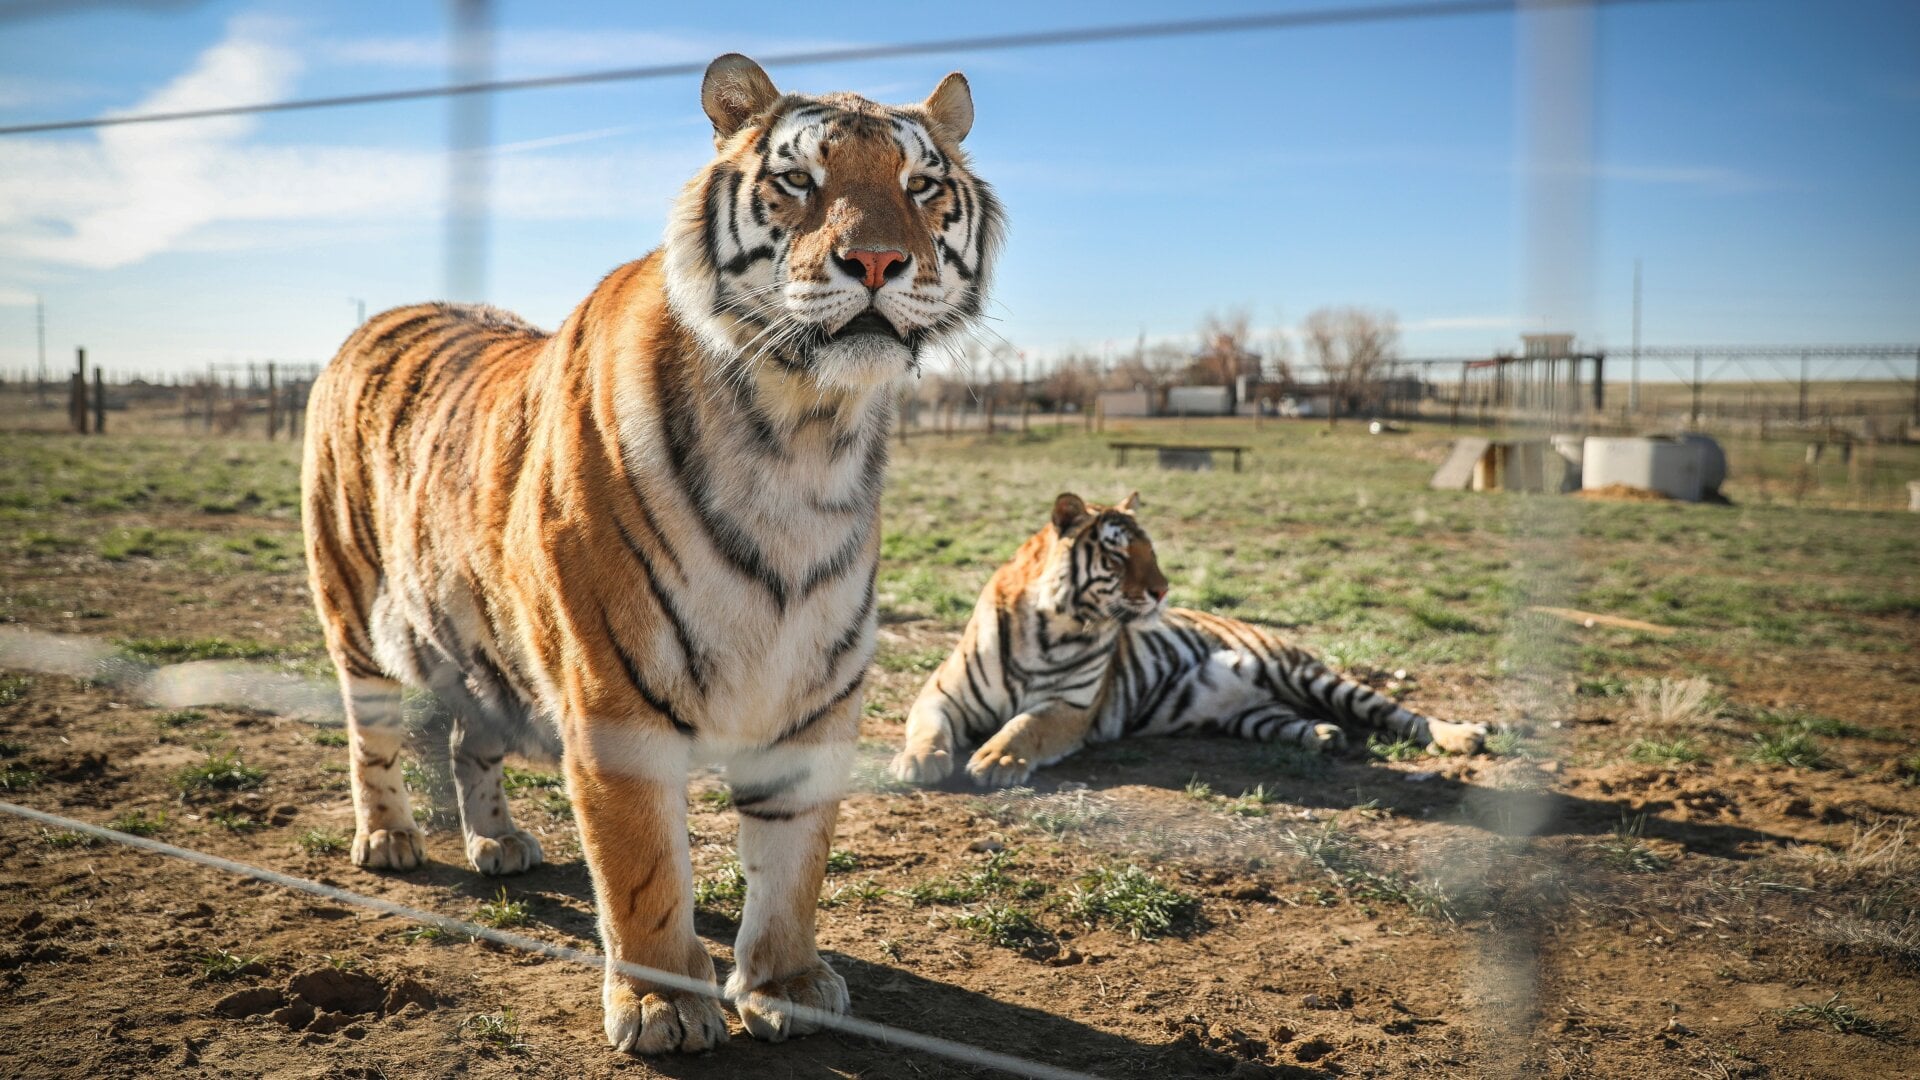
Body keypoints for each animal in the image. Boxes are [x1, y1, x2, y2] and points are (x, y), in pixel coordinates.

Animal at [301, 54, 1002, 1056]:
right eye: (800, 179)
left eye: (922, 185)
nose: (875, 262)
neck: (804, 433)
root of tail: (380, 316)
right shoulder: (613, 693)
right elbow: (642, 868)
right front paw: (663, 1003)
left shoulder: (817, 694)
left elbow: (794, 861)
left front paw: (785, 984)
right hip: (352, 605)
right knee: (373, 734)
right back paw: (390, 840)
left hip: (484, 642)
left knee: (472, 740)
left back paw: (498, 844)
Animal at [889, 493, 1488, 788]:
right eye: (1119, 554)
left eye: (1151, 551)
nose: (1162, 590)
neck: (1050, 624)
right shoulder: (941, 694)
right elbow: (926, 727)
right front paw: (916, 761)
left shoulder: (1072, 708)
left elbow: (1024, 725)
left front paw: (997, 760)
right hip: (1252, 712)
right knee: (1291, 720)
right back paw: (1324, 736)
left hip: (1304, 672)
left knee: (1400, 713)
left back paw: (1462, 736)